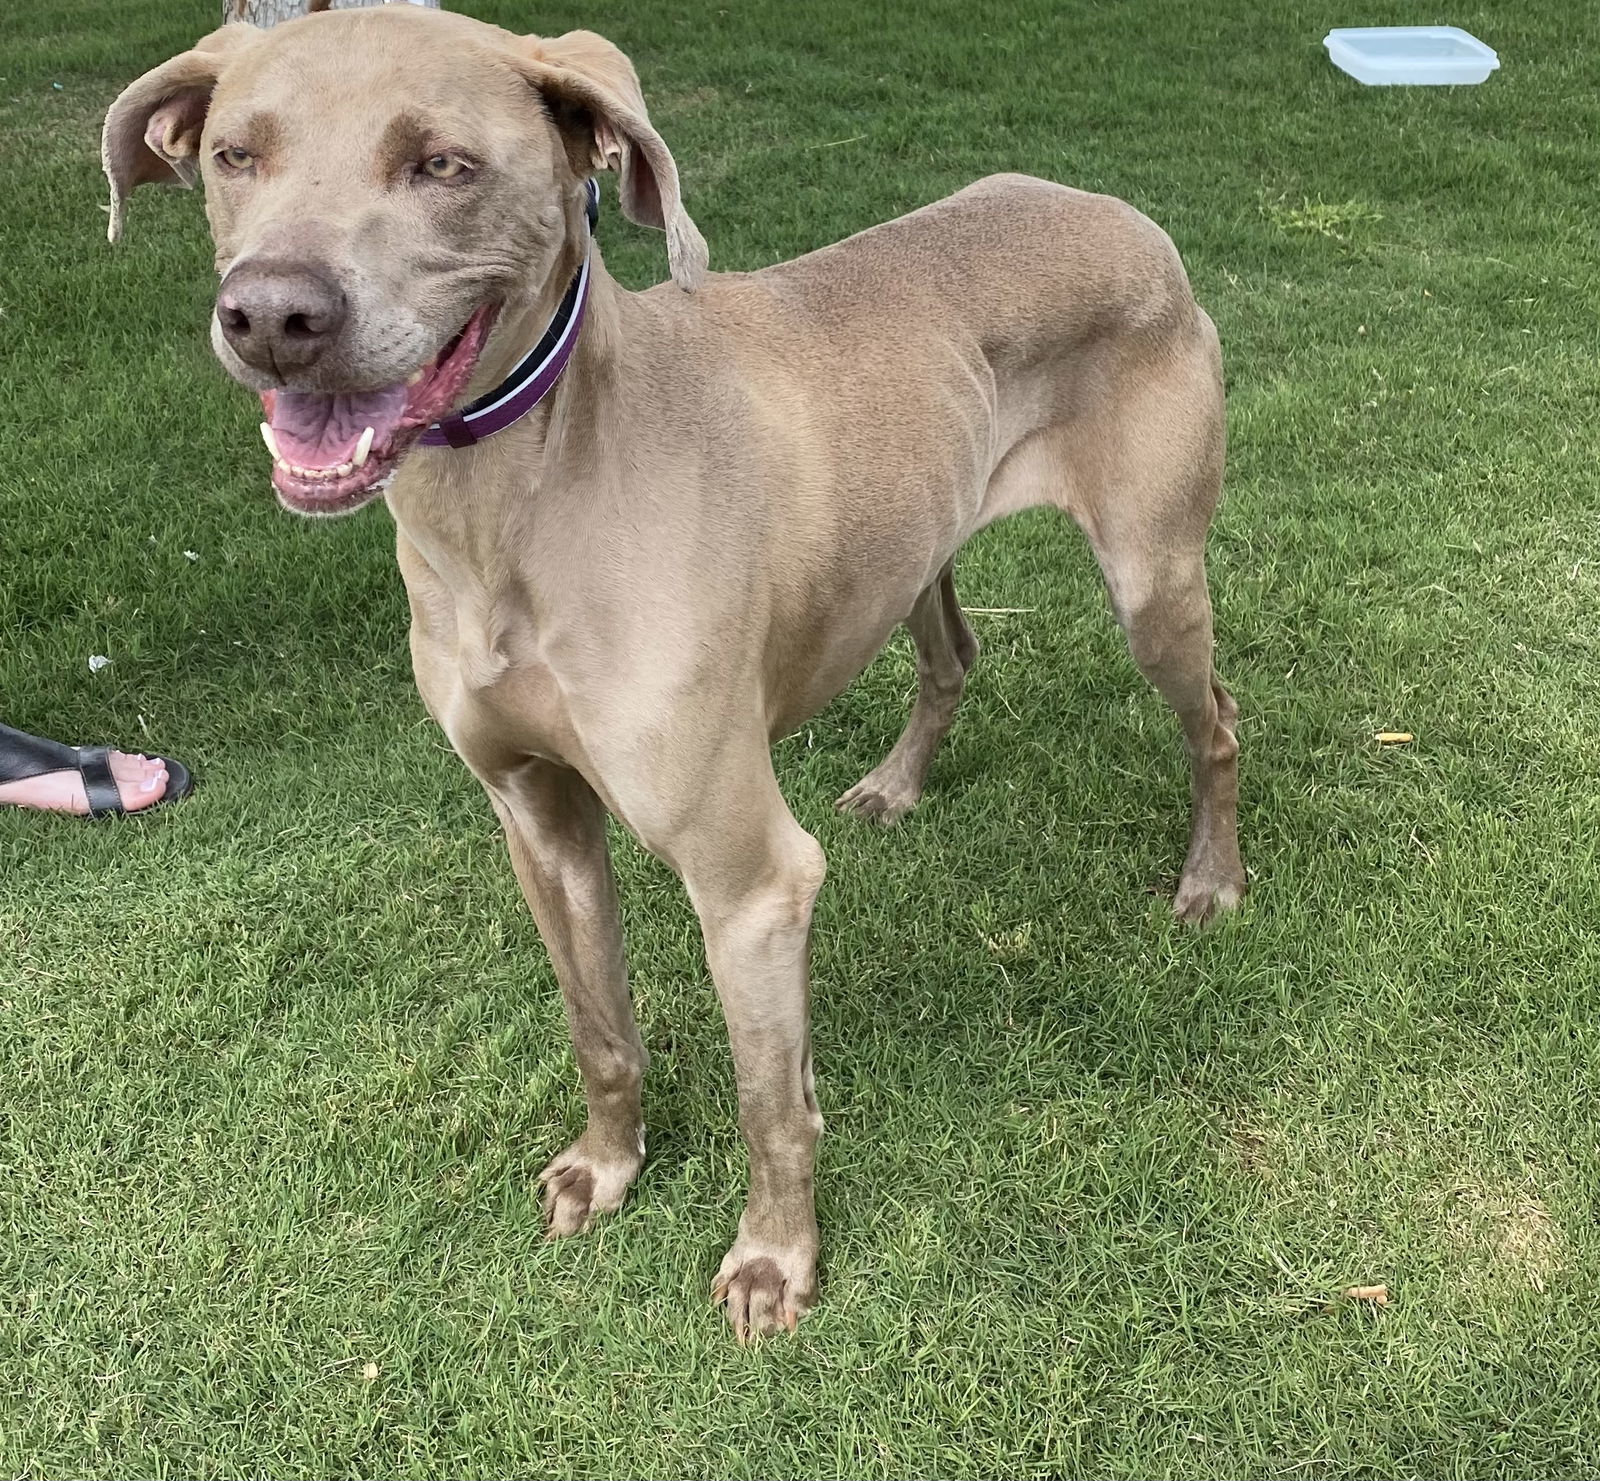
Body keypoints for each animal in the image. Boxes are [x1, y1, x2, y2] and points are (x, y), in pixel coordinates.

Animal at [106, 2, 1241, 1343]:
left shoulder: (748, 879)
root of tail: (1118, 208)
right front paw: (608, 1168)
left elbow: (770, 1103)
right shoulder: (535, 814)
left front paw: (774, 1257)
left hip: (1152, 579)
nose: (274, 316)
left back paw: (1210, 880)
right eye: (237, 154)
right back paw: (898, 784)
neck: (519, 501)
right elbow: (600, 1028)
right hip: (909, 543)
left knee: (1216, 722)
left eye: (443, 164)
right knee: (953, 654)